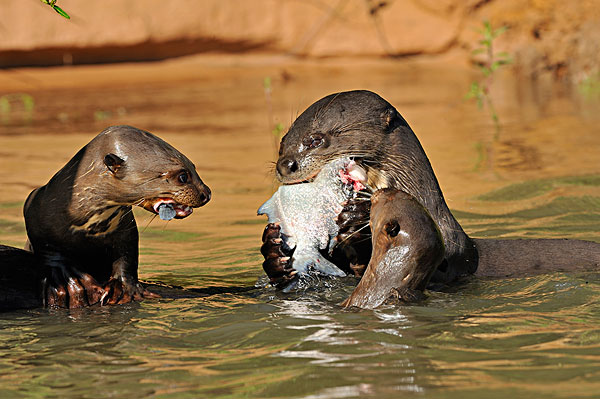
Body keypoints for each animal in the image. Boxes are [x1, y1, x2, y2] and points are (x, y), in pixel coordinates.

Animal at [22, 125, 211, 310]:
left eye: (194, 167)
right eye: (183, 176)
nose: (207, 193)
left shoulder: (127, 228)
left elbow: (127, 254)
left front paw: (125, 288)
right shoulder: (34, 206)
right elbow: (49, 250)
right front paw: (69, 282)